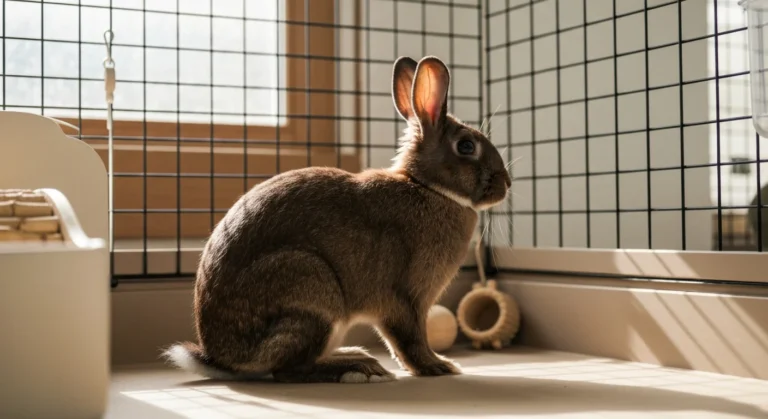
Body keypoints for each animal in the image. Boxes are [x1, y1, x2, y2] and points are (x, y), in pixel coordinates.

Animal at [163, 55, 512, 384]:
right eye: (466, 146)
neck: (426, 187)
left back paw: (353, 356)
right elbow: (409, 341)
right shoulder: (403, 299)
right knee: (289, 370)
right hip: (311, 289)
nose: (506, 183)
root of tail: (223, 358)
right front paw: (438, 366)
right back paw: (358, 368)